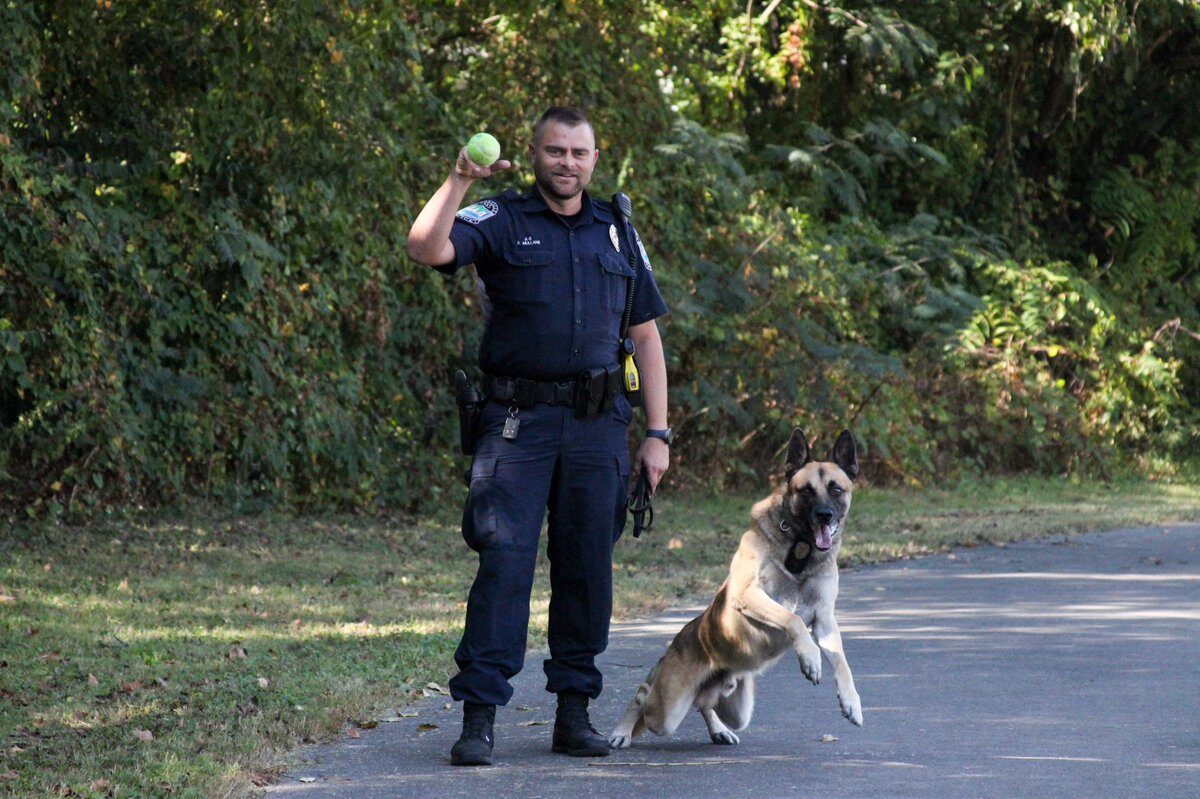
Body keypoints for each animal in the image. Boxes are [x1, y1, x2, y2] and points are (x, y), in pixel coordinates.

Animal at [609, 427, 864, 743]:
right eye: (806, 491)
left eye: (836, 489)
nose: (824, 515)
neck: (800, 547)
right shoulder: (748, 594)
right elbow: (791, 619)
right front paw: (811, 659)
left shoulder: (825, 618)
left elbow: (842, 663)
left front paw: (851, 702)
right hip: (665, 712)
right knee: (644, 694)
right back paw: (621, 732)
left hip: (738, 710)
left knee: (704, 703)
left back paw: (719, 729)